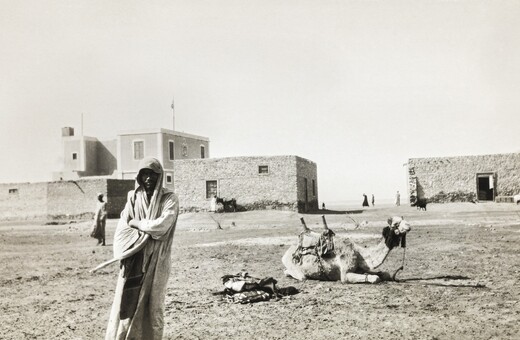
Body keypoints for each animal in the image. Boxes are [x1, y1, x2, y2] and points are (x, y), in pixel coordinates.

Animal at [282, 215, 412, 284]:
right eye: (396, 224)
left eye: (403, 219)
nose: (409, 226)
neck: (360, 254)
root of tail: (287, 253)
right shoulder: (345, 274)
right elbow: (375, 278)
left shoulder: (361, 268)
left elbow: (384, 273)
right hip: (292, 265)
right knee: (299, 276)